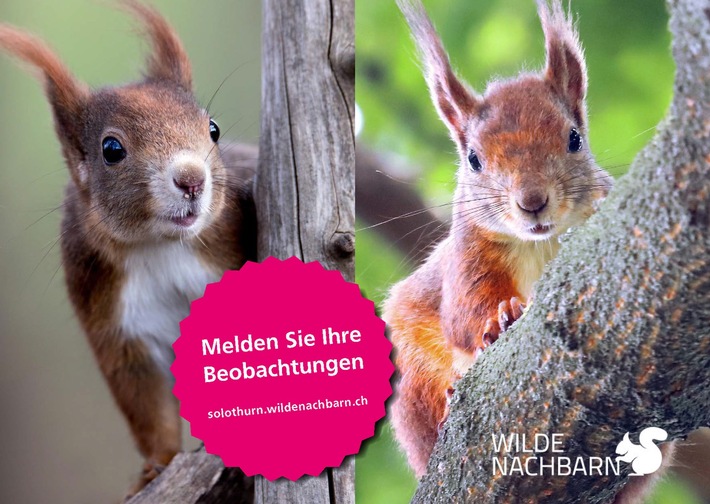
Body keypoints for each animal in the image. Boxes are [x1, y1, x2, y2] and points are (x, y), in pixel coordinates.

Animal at [0, 0, 256, 493]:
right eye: (112, 149)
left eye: (212, 128)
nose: (192, 179)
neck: (160, 247)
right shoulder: (117, 326)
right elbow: (146, 405)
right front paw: (157, 466)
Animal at [386, 0, 614, 479]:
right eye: (473, 159)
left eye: (574, 138)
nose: (533, 202)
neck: (540, 242)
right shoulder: (468, 254)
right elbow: (464, 313)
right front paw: (503, 315)